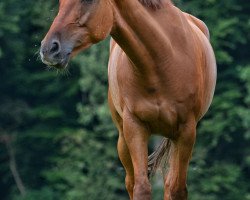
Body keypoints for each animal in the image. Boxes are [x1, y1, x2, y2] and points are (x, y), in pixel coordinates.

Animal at [40, 0, 216, 199]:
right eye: (60, 3)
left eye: (89, 1)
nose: (49, 49)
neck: (162, 60)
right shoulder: (135, 127)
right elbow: (141, 187)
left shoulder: (186, 131)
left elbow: (177, 190)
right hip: (123, 140)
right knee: (132, 183)